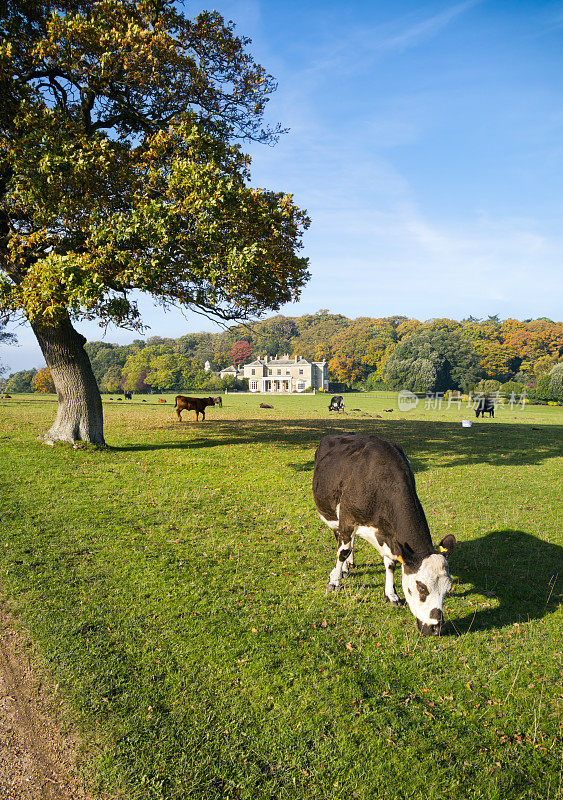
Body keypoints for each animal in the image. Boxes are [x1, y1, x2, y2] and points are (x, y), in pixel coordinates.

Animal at [316, 434, 456, 636]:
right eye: (421, 587)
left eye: (448, 588)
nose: (435, 628)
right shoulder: (347, 518)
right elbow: (342, 552)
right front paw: (334, 581)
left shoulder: (391, 538)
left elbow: (390, 564)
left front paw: (391, 595)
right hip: (333, 515)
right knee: (342, 542)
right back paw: (343, 569)